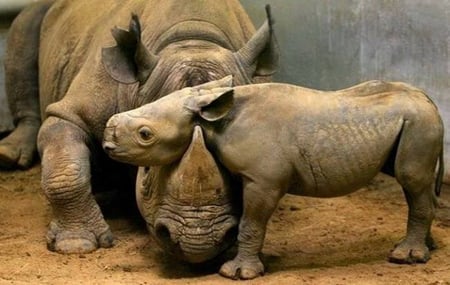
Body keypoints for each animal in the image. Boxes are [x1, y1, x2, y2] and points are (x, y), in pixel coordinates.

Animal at [0, 0, 278, 258]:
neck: (193, 40)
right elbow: (66, 166)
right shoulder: (74, 112)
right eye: (145, 170)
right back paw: (8, 156)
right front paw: (76, 245)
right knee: (24, 27)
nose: (199, 245)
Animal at [102, 76, 442, 280]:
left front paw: (237, 273)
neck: (213, 119)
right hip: (413, 122)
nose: (106, 142)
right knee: (416, 185)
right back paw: (427, 248)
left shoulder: (262, 180)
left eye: (145, 135)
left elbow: (251, 222)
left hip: (420, 124)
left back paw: (405, 257)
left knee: (411, 180)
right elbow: (246, 220)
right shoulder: (247, 176)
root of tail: (430, 100)